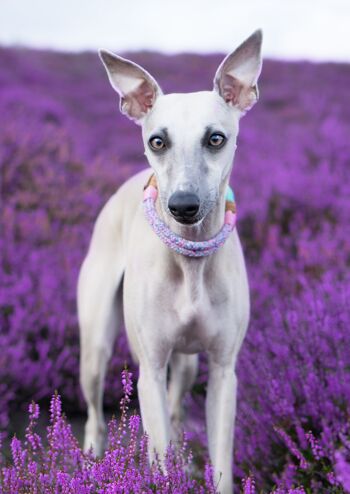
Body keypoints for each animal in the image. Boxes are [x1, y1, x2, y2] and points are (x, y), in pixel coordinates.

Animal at [78, 30, 262, 494]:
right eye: (156, 141)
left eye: (216, 138)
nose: (183, 206)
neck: (190, 263)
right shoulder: (150, 371)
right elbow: (157, 453)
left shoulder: (222, 372)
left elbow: (221, 461)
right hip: (97, 345)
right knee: (94, 408)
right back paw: (90, 455)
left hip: (188, 364)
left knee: (179, 408)